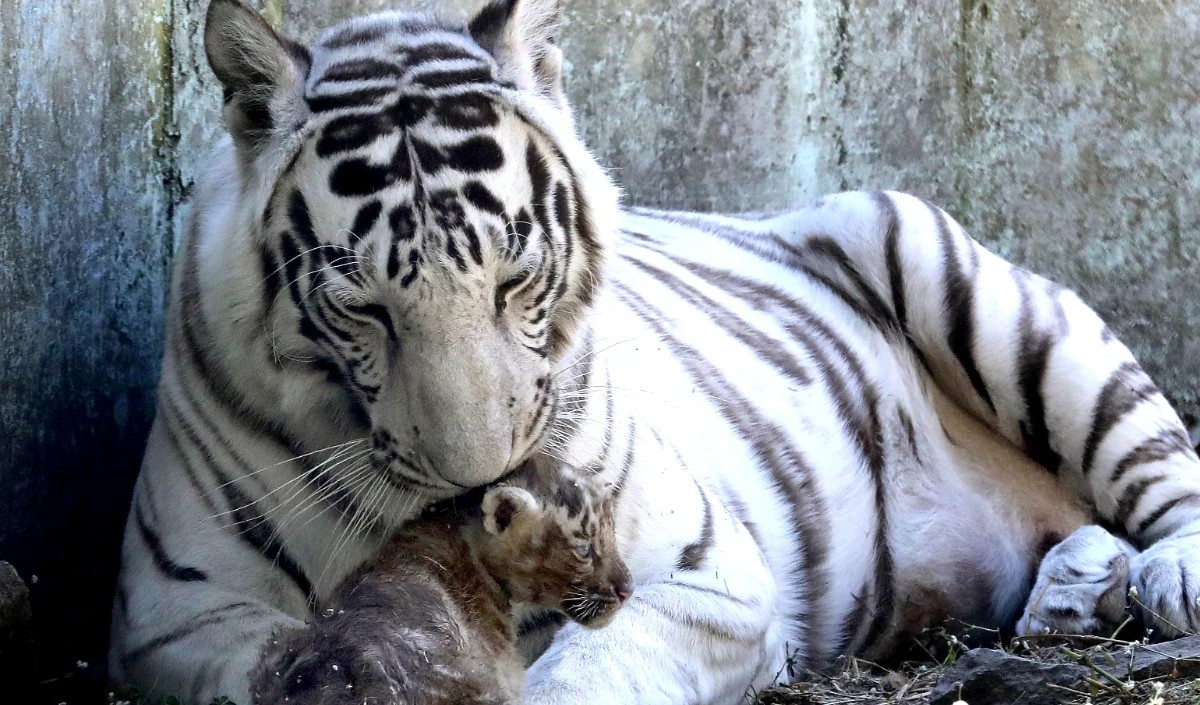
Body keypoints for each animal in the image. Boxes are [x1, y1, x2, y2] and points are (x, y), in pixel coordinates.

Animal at [110, 1, 1200, 705]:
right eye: (362, 306)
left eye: (515, 280)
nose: (479, 480)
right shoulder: (173, 616)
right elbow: (268, 662)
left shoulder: (708, 571)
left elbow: (593, 668)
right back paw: (1072, 591)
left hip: (950, 267)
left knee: (1161, 472)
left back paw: (1159, 581)